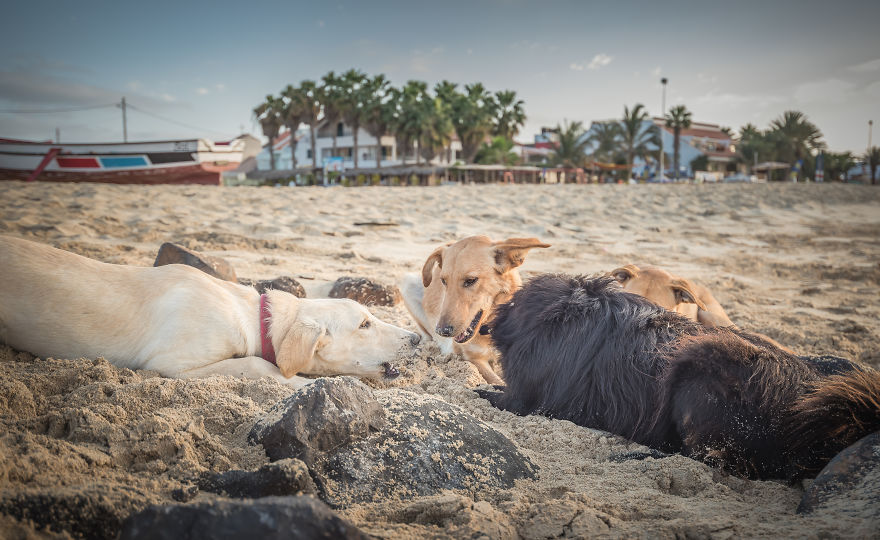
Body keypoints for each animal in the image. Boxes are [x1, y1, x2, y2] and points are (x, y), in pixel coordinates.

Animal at [0, 236, 420, 388]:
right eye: (364, 325)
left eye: (370, 315)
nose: (418, 338)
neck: (248, 313)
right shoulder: (168, 364)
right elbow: (258, 364)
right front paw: (301, 385)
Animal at [400, 235, 552, 384]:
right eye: (443, 281)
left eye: (471, 280)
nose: (443, 331)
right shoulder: (475, 359)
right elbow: (498, 382)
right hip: (406, 283)